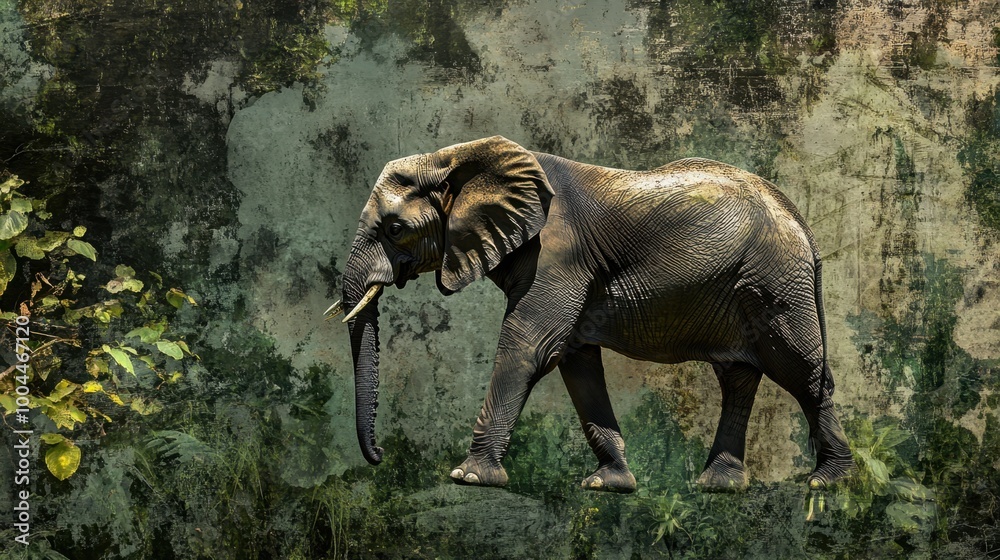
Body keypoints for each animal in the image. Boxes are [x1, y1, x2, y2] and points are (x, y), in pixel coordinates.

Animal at [326, 135, 854, 493]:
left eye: (395, 228)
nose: (379, 455)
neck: (458, 156)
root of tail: (799, 218)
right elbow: (576, 362)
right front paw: (609, 486)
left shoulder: (558, 253)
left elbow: (531, 347)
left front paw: (467, 477)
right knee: (738, 376)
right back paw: (718, 488)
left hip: (774, 282)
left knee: (801, 370)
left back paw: (826, 483)